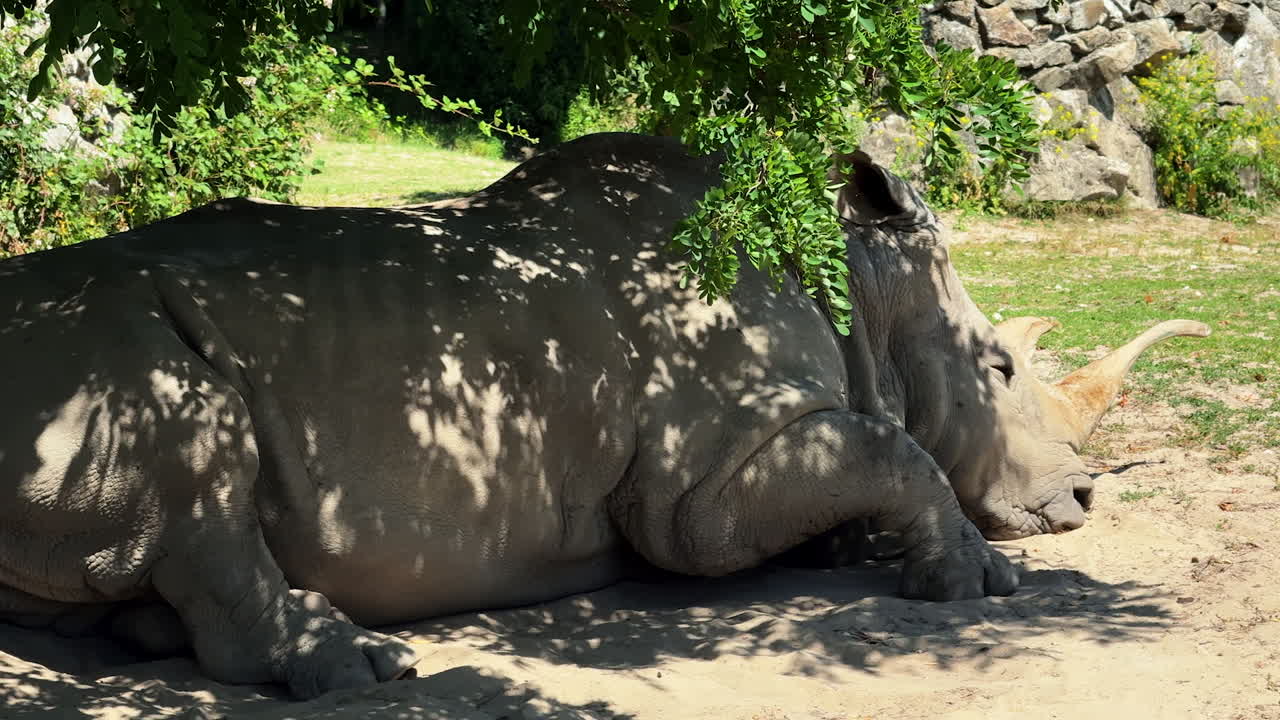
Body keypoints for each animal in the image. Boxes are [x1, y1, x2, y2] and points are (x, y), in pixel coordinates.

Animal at [0, 133, 1206, 698]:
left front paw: (865, 552)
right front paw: (974, 581)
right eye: (998, 367)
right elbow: (893, 446)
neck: (860, 280)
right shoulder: (700, 488)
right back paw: (362, 666)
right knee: (192, 466)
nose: (1081, 494)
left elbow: (876, 452)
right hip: (93, 357)